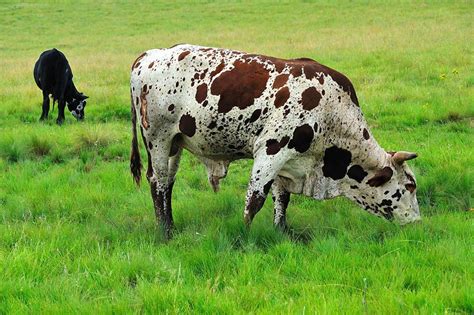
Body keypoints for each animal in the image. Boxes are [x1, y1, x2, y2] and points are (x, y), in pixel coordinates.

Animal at [129, 43, 418, 237]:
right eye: (410, 186)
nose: (417, 221)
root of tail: (150, 55)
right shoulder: (270, 152)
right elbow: (254, 200)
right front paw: (245, 235)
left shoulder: (288, 161)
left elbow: (281, 198)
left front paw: (281, 230)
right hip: (158, 139)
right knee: (157, 182)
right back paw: (165, 231)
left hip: (174, 143)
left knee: (168, 183)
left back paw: (171, 225)